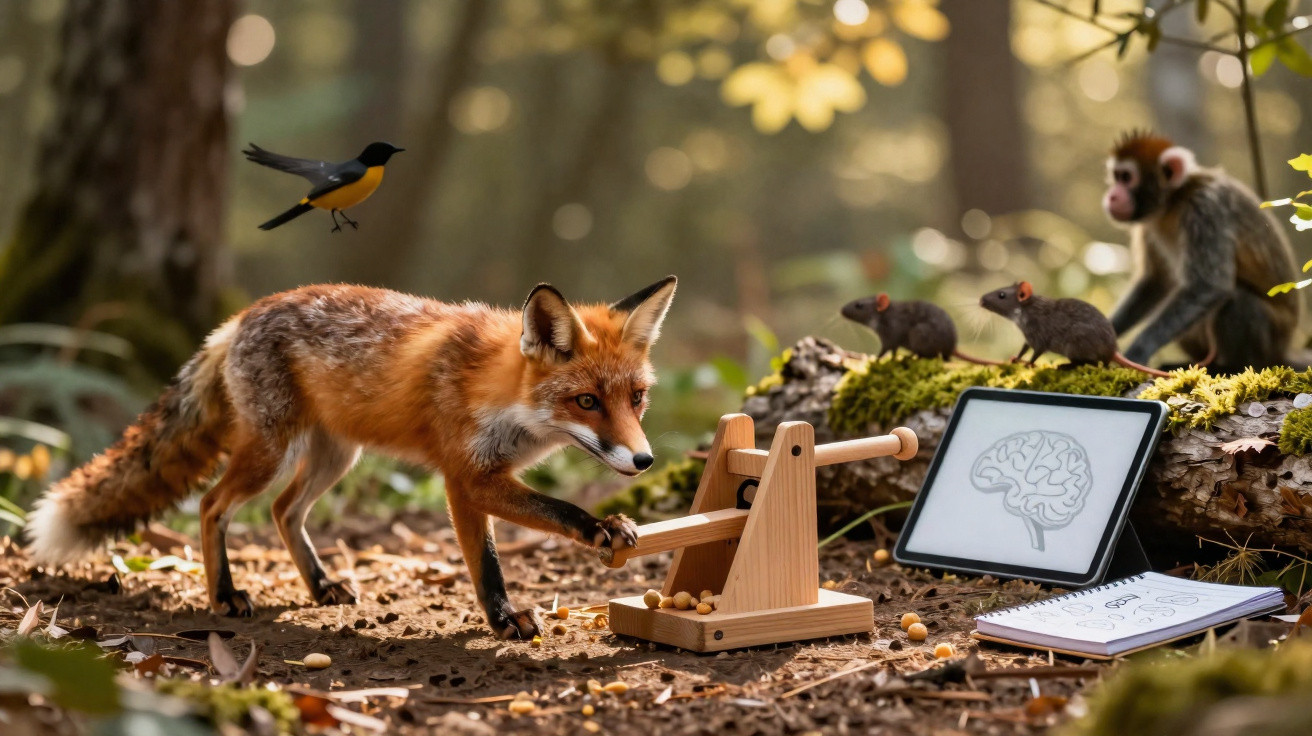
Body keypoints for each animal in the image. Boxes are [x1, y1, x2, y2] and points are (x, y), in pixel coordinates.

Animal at [26, 276, 678, 639]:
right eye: (587, 401)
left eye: (637, 398)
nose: (644, 461)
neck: (498, 392)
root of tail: (238, 318)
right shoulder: (465, 478)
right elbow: (505, 551)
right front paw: (507, 616)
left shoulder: (487, 475)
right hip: (271, 452)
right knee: (213, 504)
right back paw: (225, 595)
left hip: (335, 457)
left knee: (283, 511)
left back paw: (319, 585)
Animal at [1102, 131, 1300, 373]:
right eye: (1116, 176)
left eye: (1126, 177)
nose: (1112, 195)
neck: (1173, 202)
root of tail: (1283, 350)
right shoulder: (1149, 226)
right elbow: (1156, 282)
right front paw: (1108, 329)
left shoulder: (1205, 209)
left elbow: (1209, 286)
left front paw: (1139, 349)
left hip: (1272, 340)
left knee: (1239, 300)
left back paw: (1233, 366)